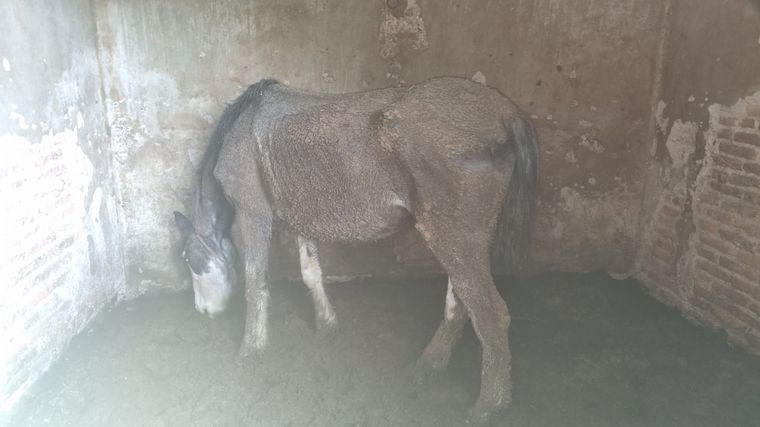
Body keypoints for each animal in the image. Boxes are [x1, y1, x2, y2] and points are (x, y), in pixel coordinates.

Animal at [173, 77, 538, 424]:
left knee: (490, 314)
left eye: (189, 258)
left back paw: (488, 405)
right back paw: (430, 364)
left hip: (454, 237)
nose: (202, 310)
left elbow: (255, 284)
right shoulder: (300, 219)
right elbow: (310, 273)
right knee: (461, 304)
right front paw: (326, 325)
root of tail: (504, 111)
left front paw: (252, 348)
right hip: (463, 239)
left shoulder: (253, 215)